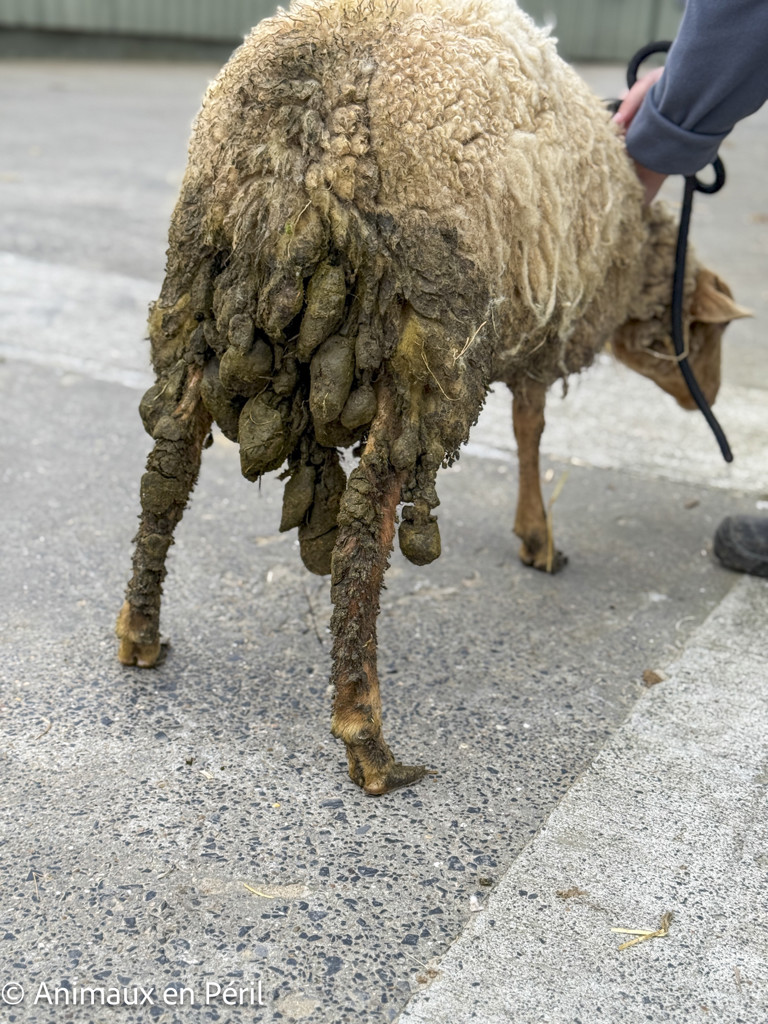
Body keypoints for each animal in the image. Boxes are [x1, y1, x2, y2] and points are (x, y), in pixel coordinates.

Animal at [116, 0, 747, 794]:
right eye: (702, 331)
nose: (707, 399)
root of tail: (316, 119)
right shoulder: (533, 327)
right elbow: (532, 427)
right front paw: (538, 538)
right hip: (433, 328)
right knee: (367, 521)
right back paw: (368, 737)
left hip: (199, 292)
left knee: (167, 470)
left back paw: (140, 632)